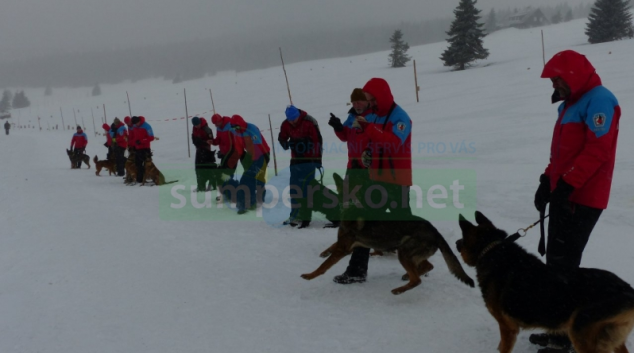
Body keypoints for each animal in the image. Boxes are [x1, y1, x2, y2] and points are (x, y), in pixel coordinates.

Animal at [298, 173, 472, 294]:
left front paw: (310, 275)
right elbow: (330, 247)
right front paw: (324, 253)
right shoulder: (346, 244)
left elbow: (323, 266)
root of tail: (435, 231)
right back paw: (406, 276)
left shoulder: (343, 248)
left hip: (404, 252)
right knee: (428, 266)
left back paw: (399, 289)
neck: (352, 203)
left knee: (417, 280)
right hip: (410, 254)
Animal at [456, 209, 632, 352]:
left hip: (581, 335)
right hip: (611, 338)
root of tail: (628, 290)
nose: (456, 243)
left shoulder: (508, 328)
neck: (492, 250)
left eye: (462, 239)